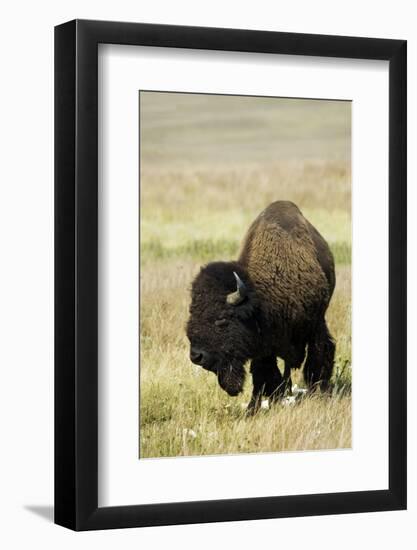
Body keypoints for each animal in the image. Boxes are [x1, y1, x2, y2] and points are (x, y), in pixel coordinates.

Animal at [185, 201, 334, 412]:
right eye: (192, 313)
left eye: (221, 320)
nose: (196, 356)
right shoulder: (264, 346)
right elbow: (263, 375)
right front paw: (253, 408)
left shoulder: (316, 325)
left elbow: (318, 358)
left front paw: (318, 393)